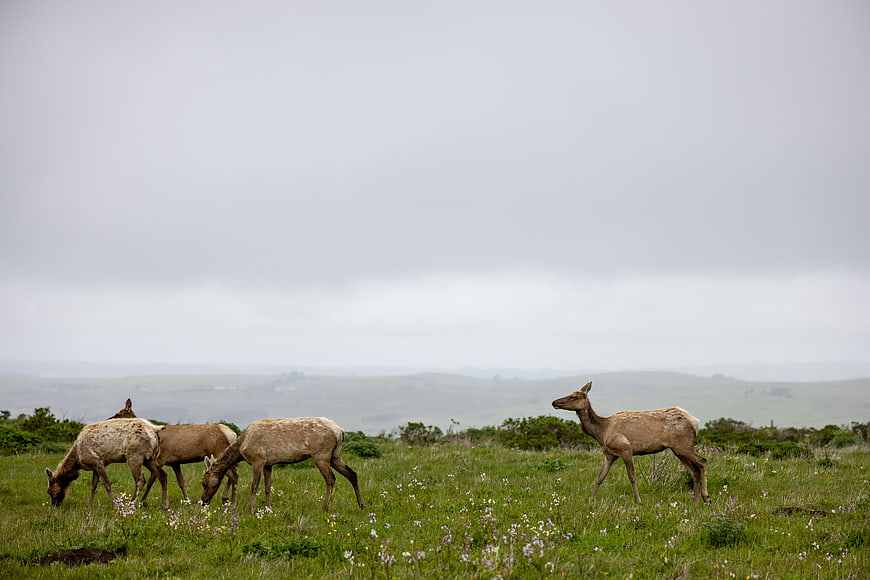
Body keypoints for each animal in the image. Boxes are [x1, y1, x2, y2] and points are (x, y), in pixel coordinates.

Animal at [108, 399, 239, 505]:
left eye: (118, 414)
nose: (108, 420)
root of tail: (232, 434)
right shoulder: (175, 462)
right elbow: (181, 482)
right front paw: (187, 500)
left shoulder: (160, 459)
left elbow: (152, 480)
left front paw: (142, 501)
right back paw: (225, 499)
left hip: (218, 452)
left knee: (233, 475)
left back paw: (229, 501)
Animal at [200, 417, 365, 514]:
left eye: (203, 482)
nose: (203, 501)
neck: (241, 448)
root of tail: (340, 431)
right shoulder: (268, 464)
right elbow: (267, 487)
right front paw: (268, 508)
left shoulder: (258, 460)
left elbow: (254, 486)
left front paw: (251, 510)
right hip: (335, 455)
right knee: (352, 474)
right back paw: (361, 505)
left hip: (321, 454)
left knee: (331, 479)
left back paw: (324, 507)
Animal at [552, 381, 709, 505]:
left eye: (573, 396)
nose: (554, 402)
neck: (602, 432)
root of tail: (695, 422)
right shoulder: (609, 455)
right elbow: (600, 477)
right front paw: (590, 500)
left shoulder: (625, 449)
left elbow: (632, 477)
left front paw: (638, 501)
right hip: (677, 449)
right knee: (694, 470)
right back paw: (694, 502)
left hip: (683, 445)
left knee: (702, 461)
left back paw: (706, 497)